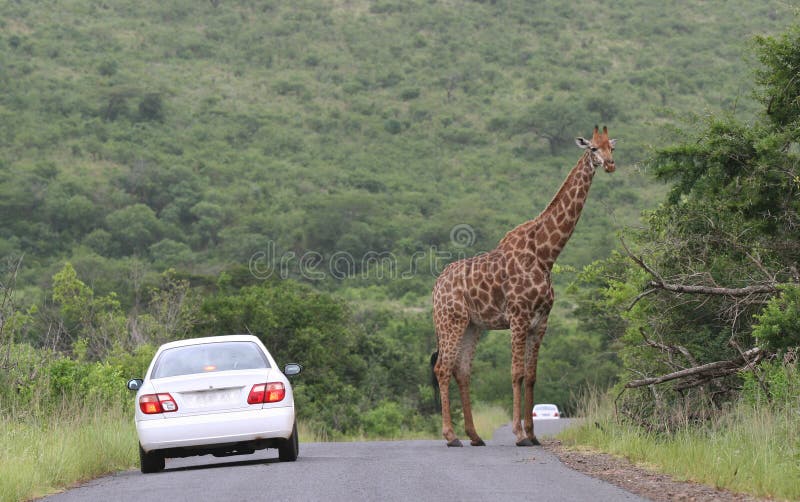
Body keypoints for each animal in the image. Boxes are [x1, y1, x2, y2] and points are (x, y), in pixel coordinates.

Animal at [434, 125, 616, 448]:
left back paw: (475, 436)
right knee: (442, 369)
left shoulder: (540, 321)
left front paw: (533, 435)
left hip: (472, 326)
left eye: (612, 147)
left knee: (462, 371)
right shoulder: (518, 318)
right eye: (593, 148)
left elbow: (531, 376)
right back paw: (451, 436)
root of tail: (435, 287)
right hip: (450, 321)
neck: (546, 255)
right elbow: (516, 373)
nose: (609, 164)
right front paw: (519, 435)